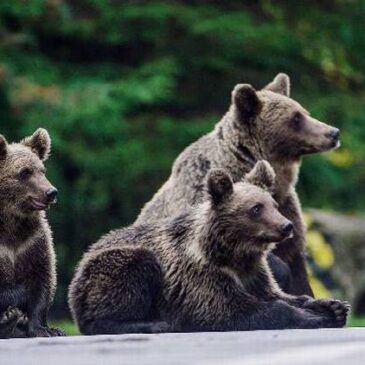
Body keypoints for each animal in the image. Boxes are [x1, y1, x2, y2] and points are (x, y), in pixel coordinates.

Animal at [0, 129, 64, 336]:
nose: (51, 192)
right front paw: (9, 315)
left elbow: (42, 280)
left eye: (42, 170)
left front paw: (45, 329)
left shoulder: (32, 241)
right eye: (24, 172)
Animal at [68, 161, 346, 334]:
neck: (233, 254)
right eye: (256, 208)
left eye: (273, 205)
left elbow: (278, 294)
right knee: (132, 272)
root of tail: (80, 264)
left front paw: (332, 307)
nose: (286, 226)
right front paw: (314, 318)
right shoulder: (201, 275)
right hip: (107, 269)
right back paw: (153, 324)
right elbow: (231, 309)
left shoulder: (254, 273)